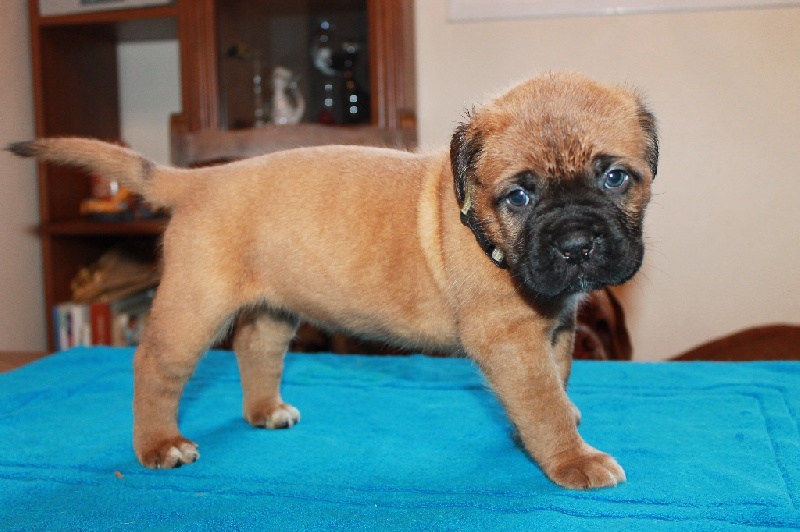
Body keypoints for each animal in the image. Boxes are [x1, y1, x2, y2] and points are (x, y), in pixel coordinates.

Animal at [9, 72, 658, 490]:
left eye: (616, 178)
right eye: (519, 196)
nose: (576, 246)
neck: (481, 223)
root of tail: (198, 181)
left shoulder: (555, 328)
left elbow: (556, 383)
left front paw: (555, 429)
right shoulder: (510, 339)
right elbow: (542, 402)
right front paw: (571, 459)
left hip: (272, 307)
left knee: (255, 347)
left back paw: (265, 411)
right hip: (193, 308)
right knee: (155, 367)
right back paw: (158, 444)